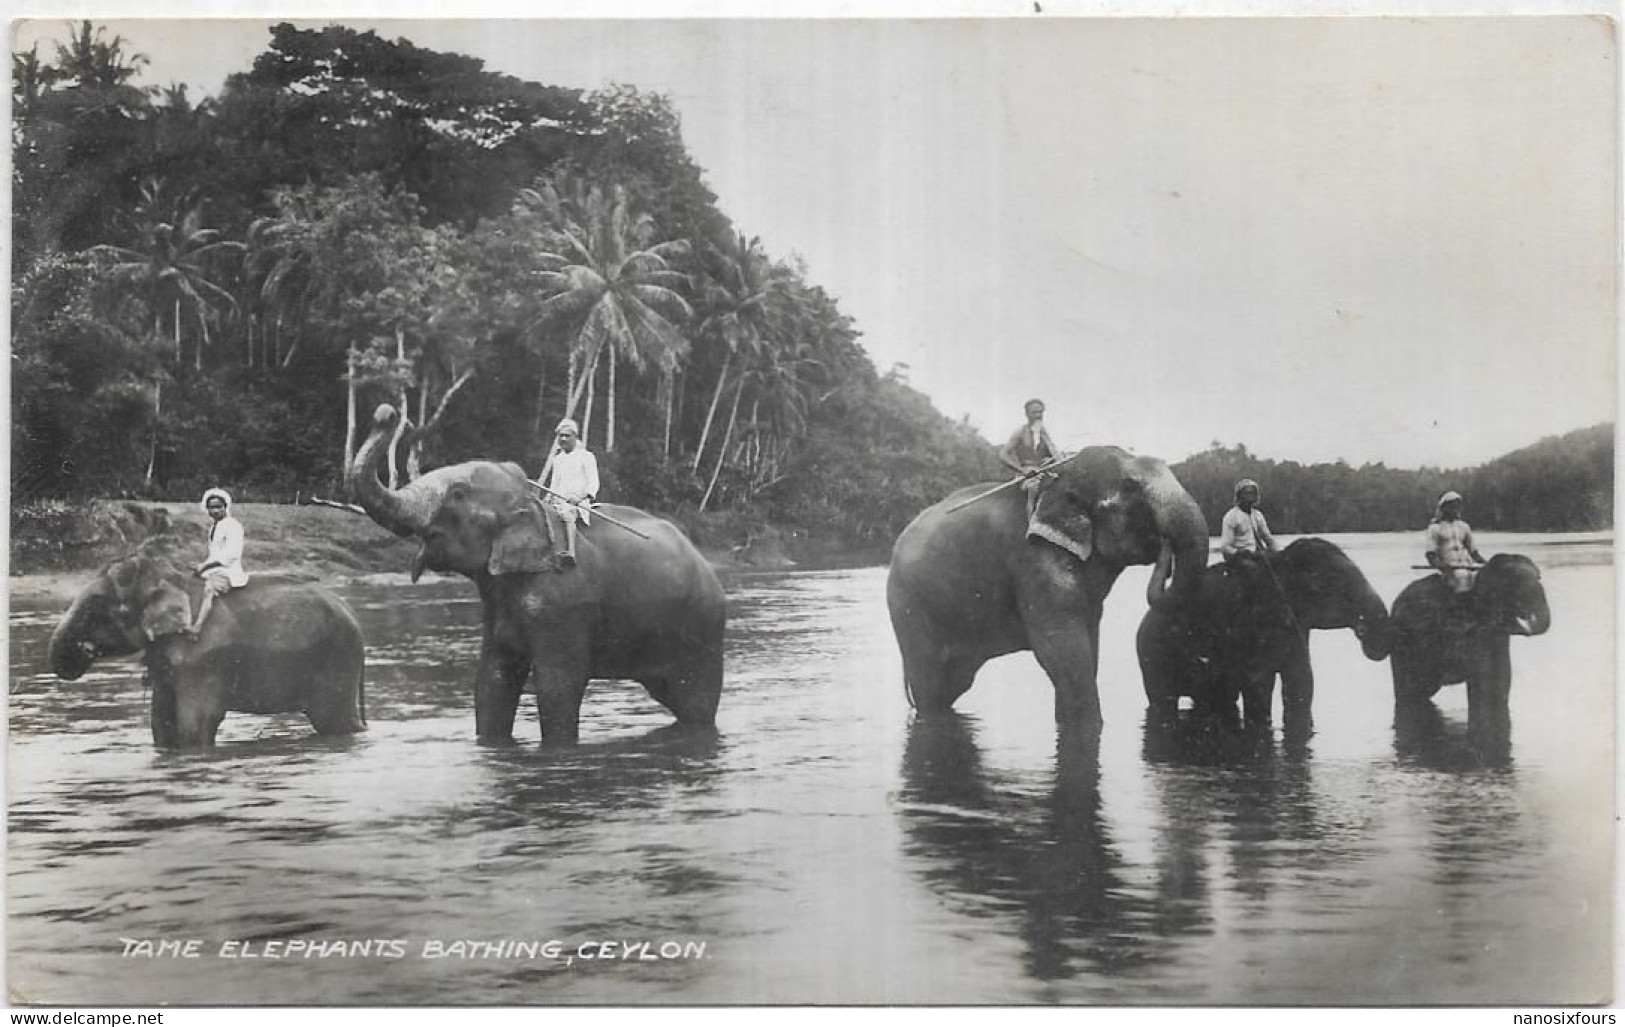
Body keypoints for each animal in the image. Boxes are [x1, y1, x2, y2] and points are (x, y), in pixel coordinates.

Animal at [50, 549, 372, 750]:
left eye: (98, 608)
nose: (84, 650)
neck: (172, 579)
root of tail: (354, 616)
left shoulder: (201, 660)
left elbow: (195, 724)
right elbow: (160, 724)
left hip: (338, 660)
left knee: (335, 721)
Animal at [346, 403, 728, 747]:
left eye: (457, 494)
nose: (386, 414)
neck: (531, 504)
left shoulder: (563, 605)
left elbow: (557, 685)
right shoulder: (497, 606)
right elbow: (492, 680)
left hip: (703, 628)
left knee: (697, 702)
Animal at [884, 445, 1215, 724]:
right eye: (1132, 486)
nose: (1165, 546)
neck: (1061, 478)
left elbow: (1086, 649)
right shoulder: (1034, 559)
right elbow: (1061, 652)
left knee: (955, 683)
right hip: (908, 607)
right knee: (931, 686)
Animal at [1137, 536, 1391, 731]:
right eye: (1326, 584)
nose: (1372, 640)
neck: (1281, 561)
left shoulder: (1298, 629)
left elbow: (1302, 683)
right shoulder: (1250, 627)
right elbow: (1258, 686)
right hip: (1151, 656)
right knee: (1163, 699)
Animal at [1384, 552, 1547, 737]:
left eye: (1539, 577)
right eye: (1513, 584)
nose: (1526, 622)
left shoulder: (1496, 636)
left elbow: (1501, 679)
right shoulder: (1476, 631)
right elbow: (1482, 683)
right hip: (1403, 642)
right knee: (1410, 690)